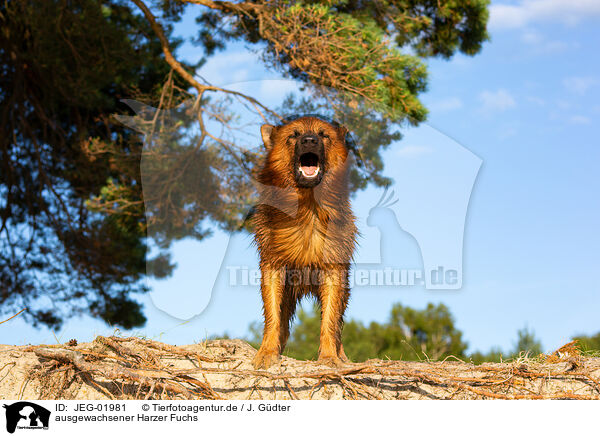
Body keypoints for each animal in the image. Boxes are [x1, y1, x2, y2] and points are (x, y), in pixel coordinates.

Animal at [252, 116, 356, 368]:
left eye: (323, 134)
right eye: (295, 135)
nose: (310, 140)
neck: (307, 208)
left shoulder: (333, 271)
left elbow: (330, 321)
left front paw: (329, 358)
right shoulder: (273, 266)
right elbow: (273, 317)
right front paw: (267, 353)